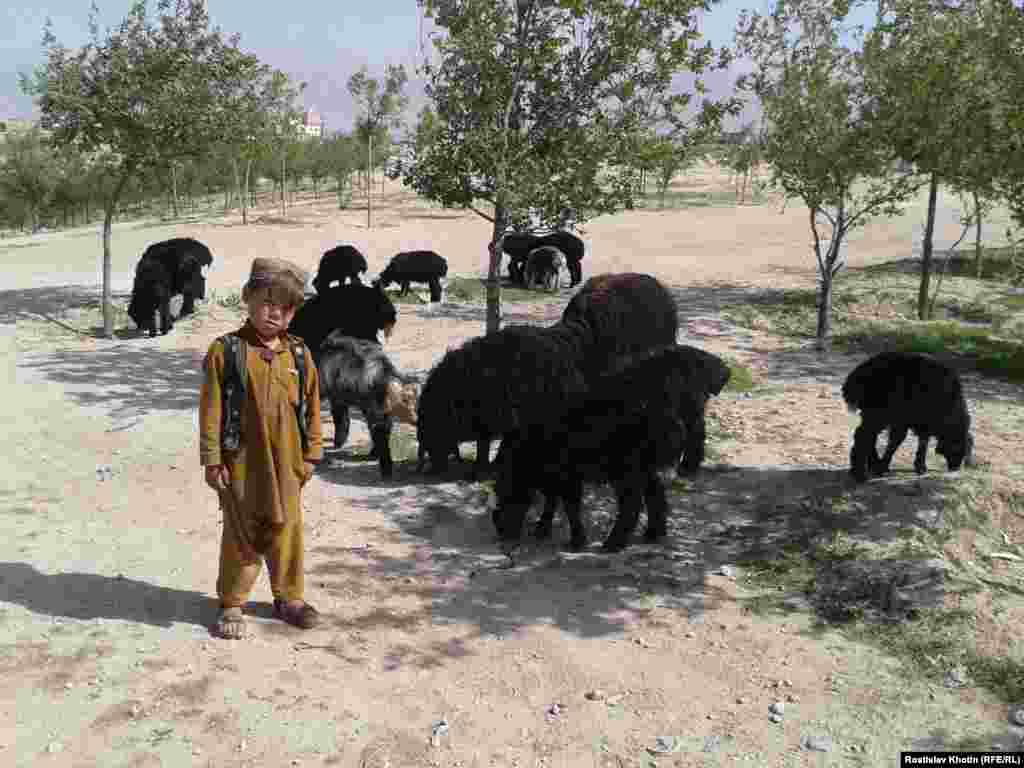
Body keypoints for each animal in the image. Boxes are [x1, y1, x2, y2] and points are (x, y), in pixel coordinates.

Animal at [489, 346, 700, 557]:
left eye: (504, 489)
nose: (501, 530)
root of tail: (670, 417)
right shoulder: (555, 477)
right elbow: (552, 501)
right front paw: (542, 530)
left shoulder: (568, 476)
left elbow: (570, 506)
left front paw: (576, 541)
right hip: (643, 466)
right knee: (655, 493)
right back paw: (653, 534)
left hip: (625, 469)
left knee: (632, 503)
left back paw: (613, 544)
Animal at [839, 354, 974, 483]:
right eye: (957, 447)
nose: (955, 468)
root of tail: (855, 377)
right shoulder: (910, 419)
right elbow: (900, 441)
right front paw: (886, 466)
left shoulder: (913, 421)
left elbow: (920, 441)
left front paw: (919, 466)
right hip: (878, 412)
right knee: (863, 435)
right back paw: (860, 474)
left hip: (872, 413)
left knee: (868, 436)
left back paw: (870, 465)